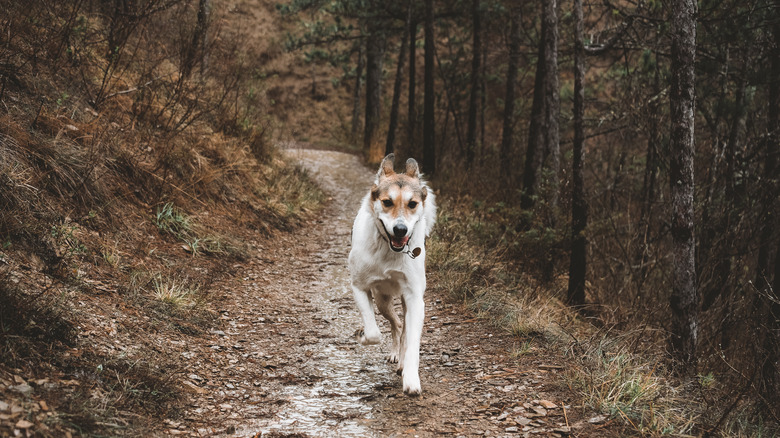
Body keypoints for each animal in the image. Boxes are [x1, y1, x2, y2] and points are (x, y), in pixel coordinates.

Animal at [348, 153, 436, 394]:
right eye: (387, 202)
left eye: (412, 204)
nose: (400, 229)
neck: (389, 248)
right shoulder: (359, 287)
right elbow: (373, 332)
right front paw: (362, 336)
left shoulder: (415, 298)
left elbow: (413, 342)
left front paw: (411, 378)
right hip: (382, 300)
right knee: (395, 323)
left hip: (403, 300)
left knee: (403, 327)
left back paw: (402, 361)